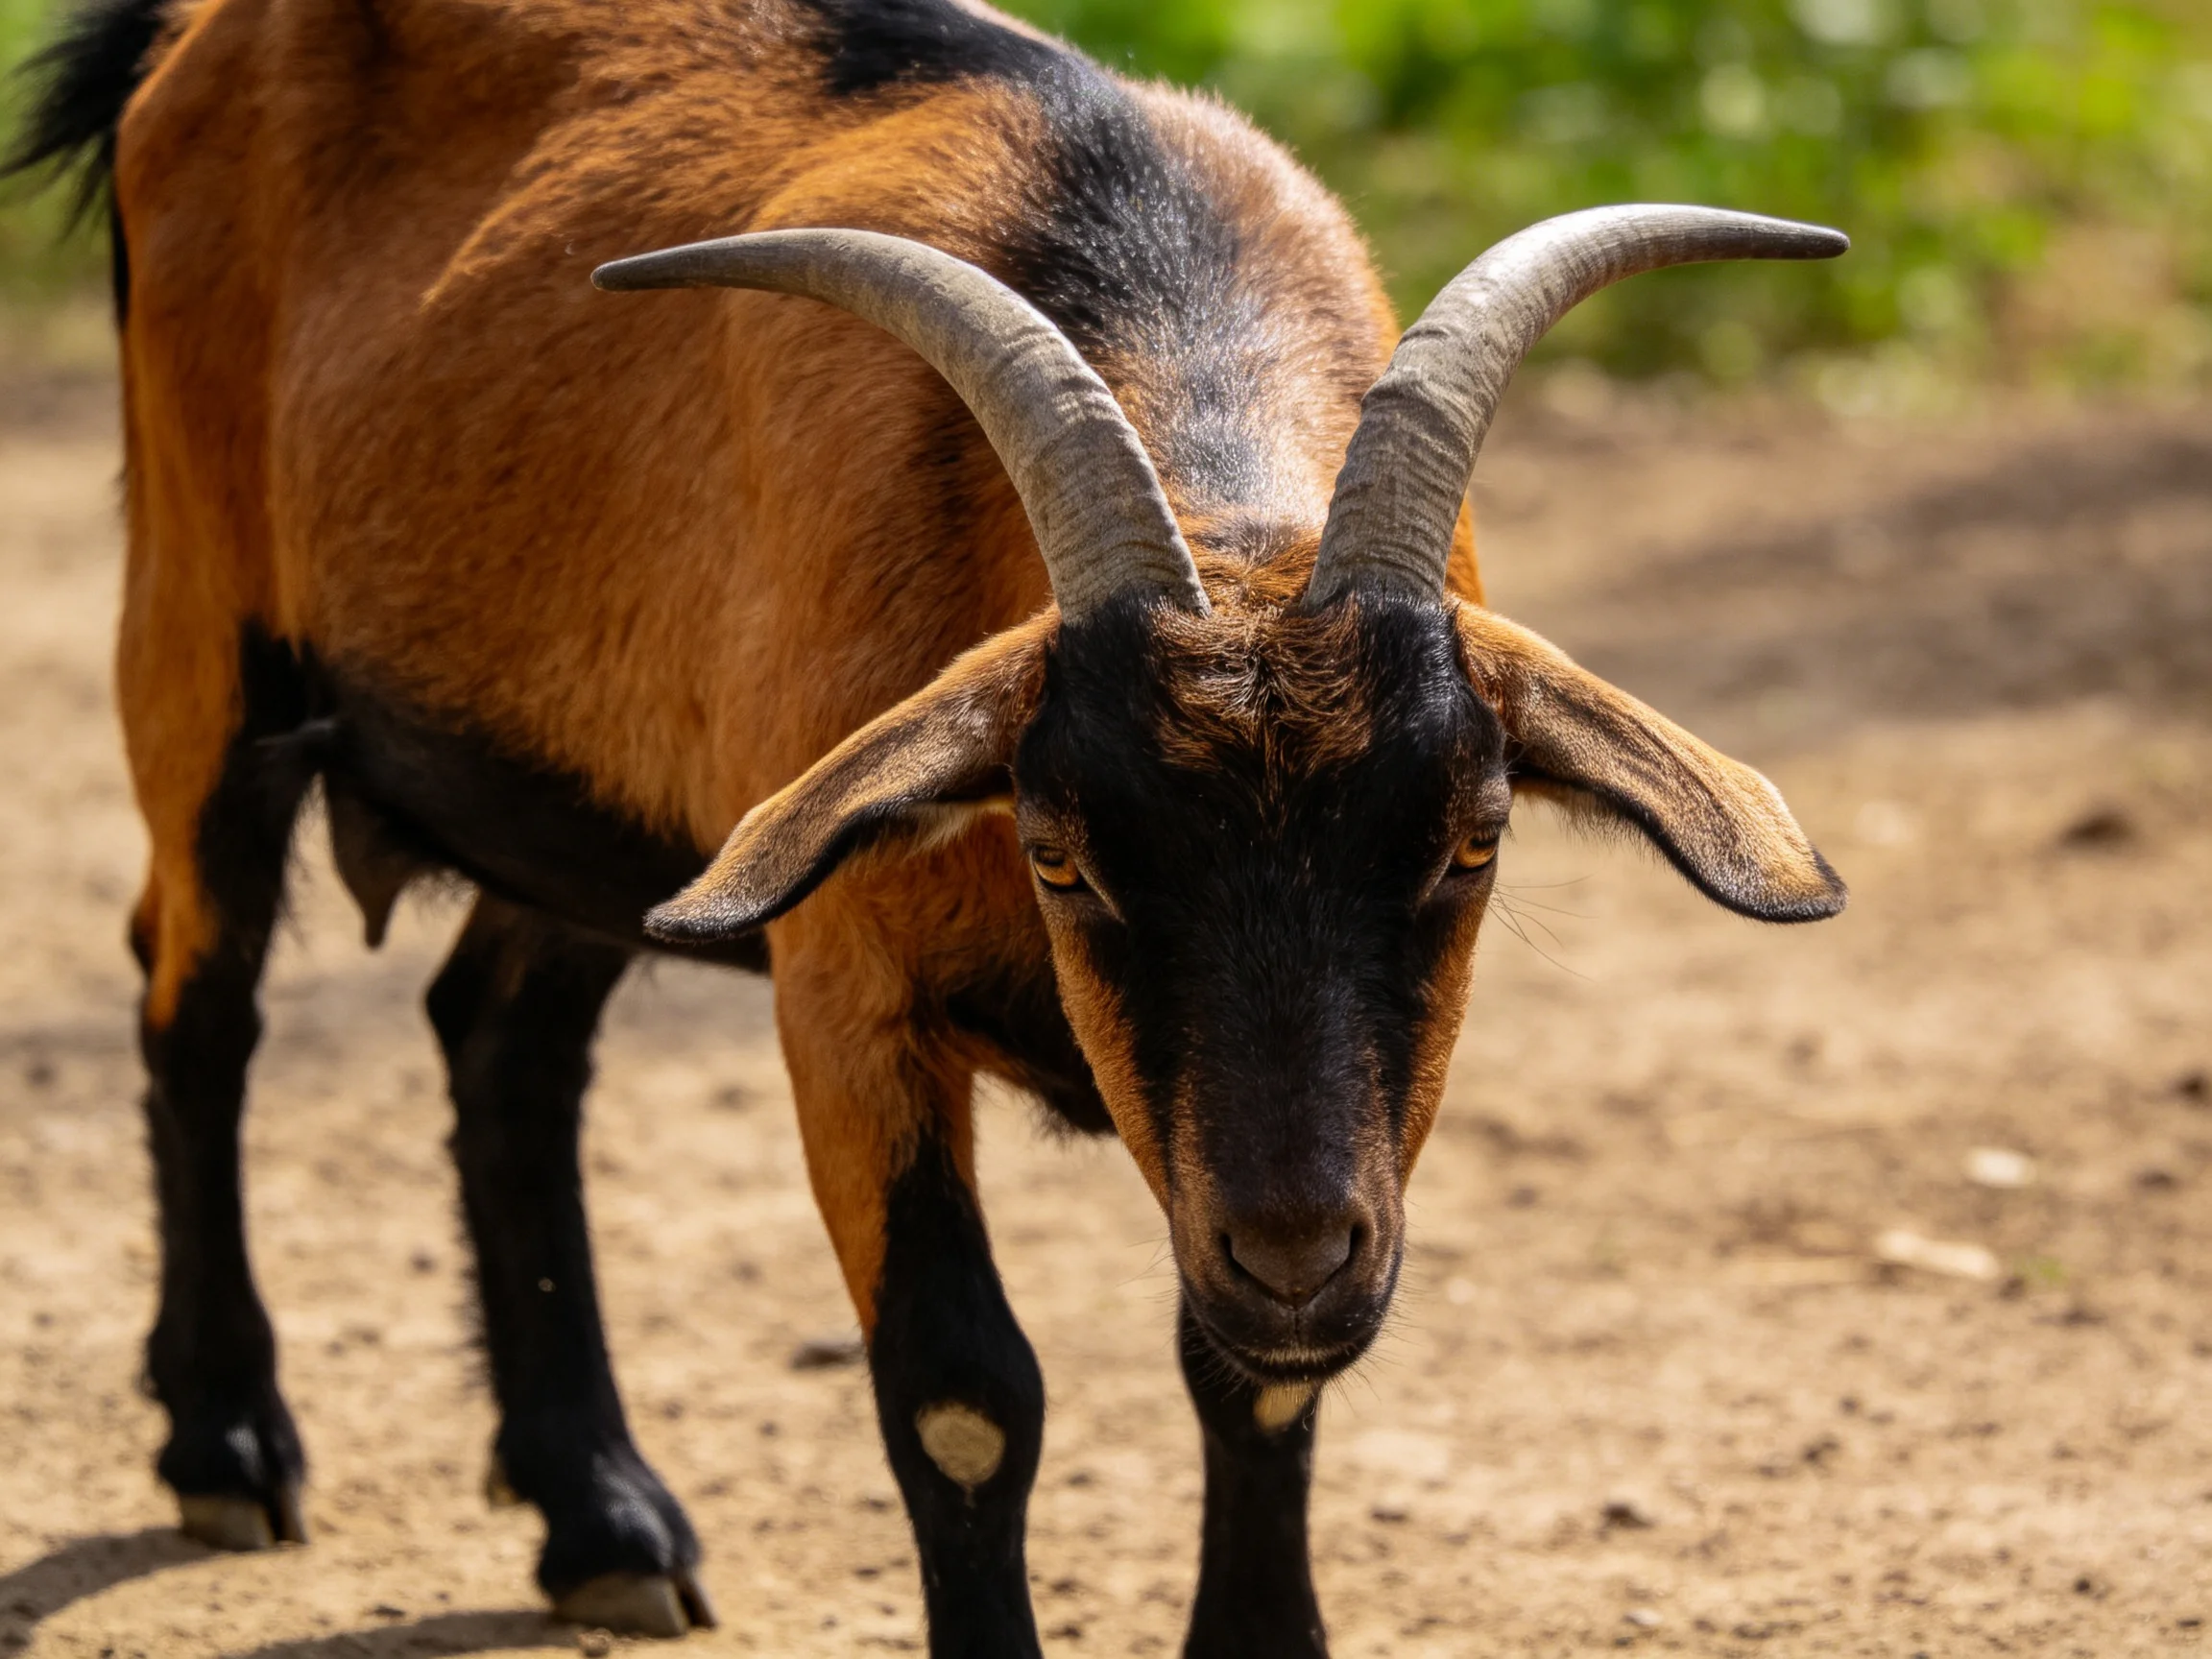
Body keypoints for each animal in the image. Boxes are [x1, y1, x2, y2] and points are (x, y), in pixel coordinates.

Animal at [6, 0, 1847, 1649]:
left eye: (1470, 839)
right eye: (1060, 851)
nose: (1296, 1249)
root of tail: (185, 39)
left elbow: (1247, 1384)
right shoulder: (844, 996)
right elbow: (964, 1395)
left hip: (596, 808)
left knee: (498, 1041)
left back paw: (600, 1520)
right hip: (199, 640)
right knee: (195, 997)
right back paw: (227, 1443)